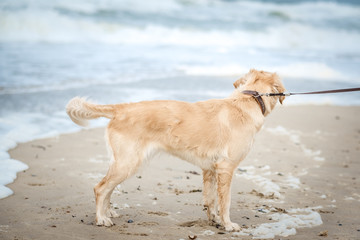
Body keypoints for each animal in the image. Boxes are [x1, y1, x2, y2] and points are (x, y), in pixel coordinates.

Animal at [65, 68, 284, 232]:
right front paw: (228, 224)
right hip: (128, 162)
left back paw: (108, 212)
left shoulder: (210, 168)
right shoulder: (226, 168)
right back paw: (101, 218)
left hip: (122, 162)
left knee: (107, 187)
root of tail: (121, 108)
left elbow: (210, 199)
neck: (249, 101)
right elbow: (225, 202)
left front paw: (214, 219)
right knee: (100, 188)